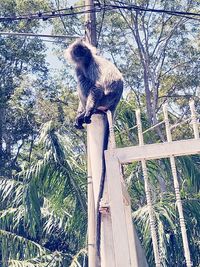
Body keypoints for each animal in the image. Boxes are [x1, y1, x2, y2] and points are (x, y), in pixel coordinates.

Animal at [65, 39, 123, 264]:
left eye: (84, 52)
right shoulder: (79, 66)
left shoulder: (90, 66)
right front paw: (79, 114)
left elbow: (96, 86)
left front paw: (86, 112)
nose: (81, 56)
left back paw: (88, 113)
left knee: (89, 85)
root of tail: (114, 105)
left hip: (104, 101)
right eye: (78, 52)